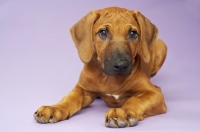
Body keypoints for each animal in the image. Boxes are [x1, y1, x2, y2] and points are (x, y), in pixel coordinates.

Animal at [34, 6, 167, 128]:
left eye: (133, 33)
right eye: (103, 32)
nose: (121, 65)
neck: (110, 79)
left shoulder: (153, 94)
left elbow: (135, 99)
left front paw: (123, 111)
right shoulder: (82, 88)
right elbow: (70, 98)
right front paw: (54, 108)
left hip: (162, 46)